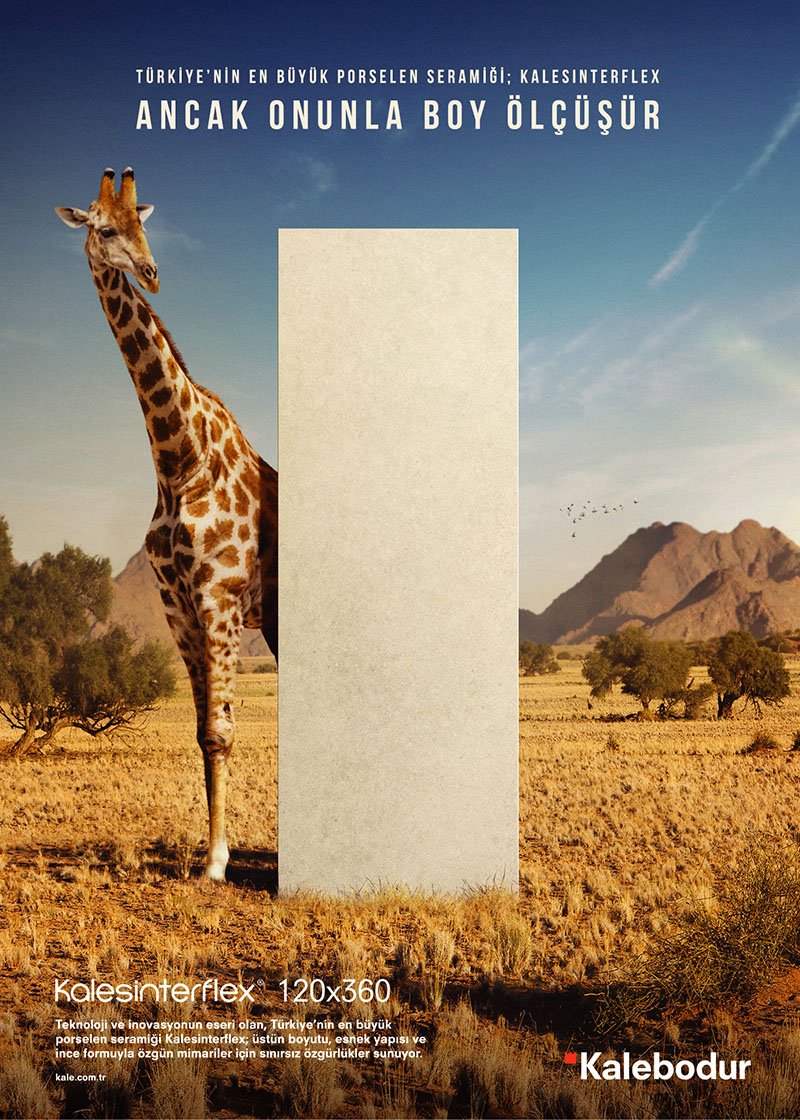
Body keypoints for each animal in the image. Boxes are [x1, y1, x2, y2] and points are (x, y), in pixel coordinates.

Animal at [56, 168, 278, 881]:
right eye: (103, 227)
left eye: (144, 224)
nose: (151, 272)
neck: (179, 460)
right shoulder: (177, 604)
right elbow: (203, 731)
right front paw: (214, 854)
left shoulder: (220, 597)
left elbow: (222, 731)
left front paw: (216, 863)